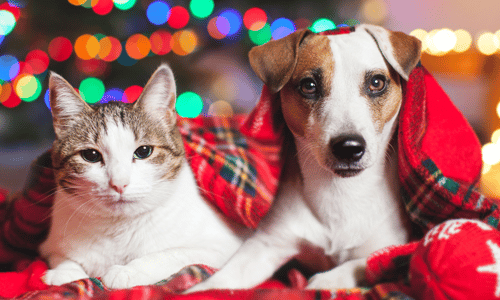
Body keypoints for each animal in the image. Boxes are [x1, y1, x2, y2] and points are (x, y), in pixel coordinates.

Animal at [39, 64, 248, 290]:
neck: (119, 229)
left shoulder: (223, 247)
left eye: (143, 151)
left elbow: (172, 254)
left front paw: (128, 270)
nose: (119, 184)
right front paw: (66, 272)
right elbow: (64, 259)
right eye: (91, 155)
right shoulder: (50, 246)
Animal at [188, 24, 422, 292]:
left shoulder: (389, 246)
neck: (341, 193)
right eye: (309, 85)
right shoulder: (267, 245)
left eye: (376, 82)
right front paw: (195, 290)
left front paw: (327, 280)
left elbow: (367, 262)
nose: (349, 147)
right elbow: (220, 280)